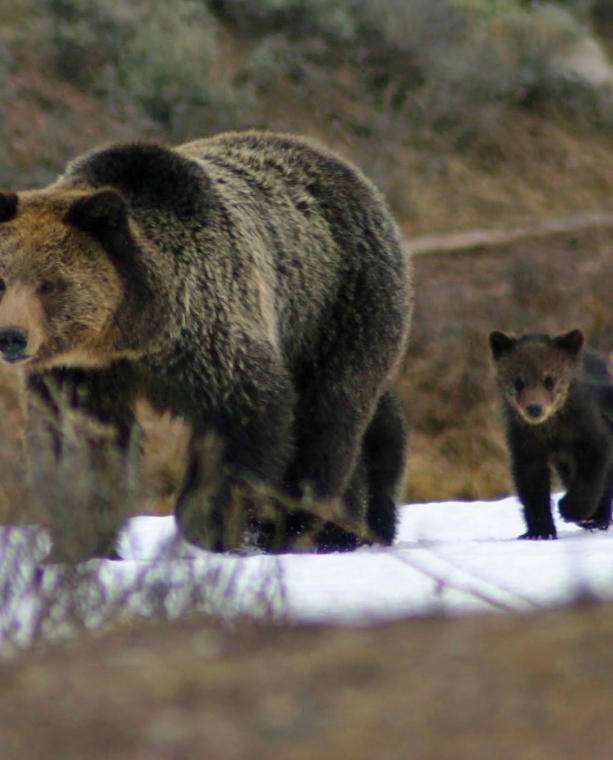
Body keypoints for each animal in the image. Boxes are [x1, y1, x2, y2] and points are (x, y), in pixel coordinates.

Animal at [0, 132, 412, 560]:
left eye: (49, 284)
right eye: (1, 279)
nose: (11, 336)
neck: (132, 335)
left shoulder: (211, 337)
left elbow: (241, 428)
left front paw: (214, 530)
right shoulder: (81, 372)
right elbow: (79, 445)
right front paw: (80, 543)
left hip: (335, 307)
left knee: (329, 419)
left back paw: (303, 528)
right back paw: (357, 525)